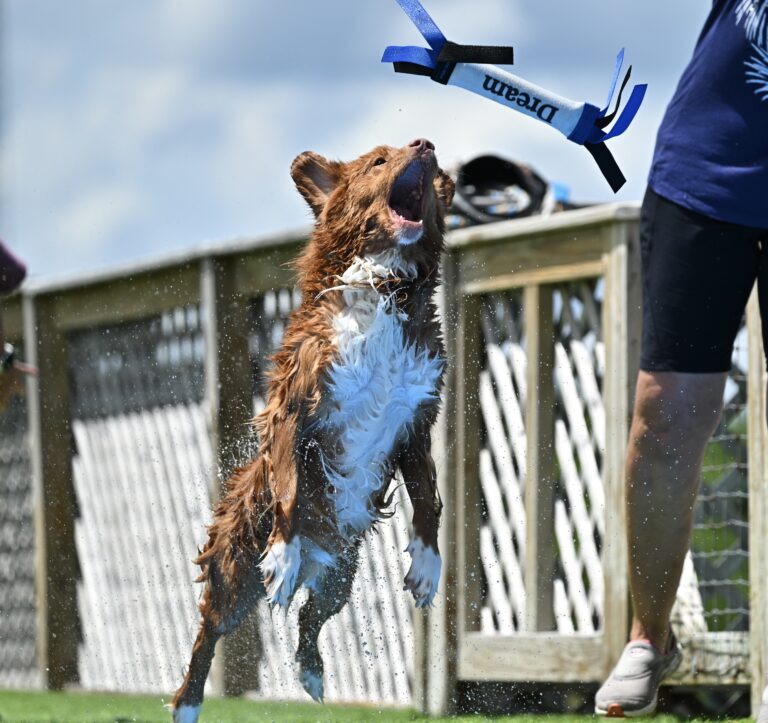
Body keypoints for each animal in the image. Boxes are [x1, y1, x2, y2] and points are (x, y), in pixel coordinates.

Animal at [170, 138, 454, 722]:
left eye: (430, 160)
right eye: (379, 160)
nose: (425, 143)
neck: (385, 290)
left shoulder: (417, 419)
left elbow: (428, 498)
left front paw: (427, 565)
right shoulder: (297, 407)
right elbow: (287, 485)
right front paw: (283, 553)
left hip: (341, 574)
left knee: (310, 618)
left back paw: (312, 672)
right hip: (236, 564)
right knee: (210, 629)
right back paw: (188, 701)